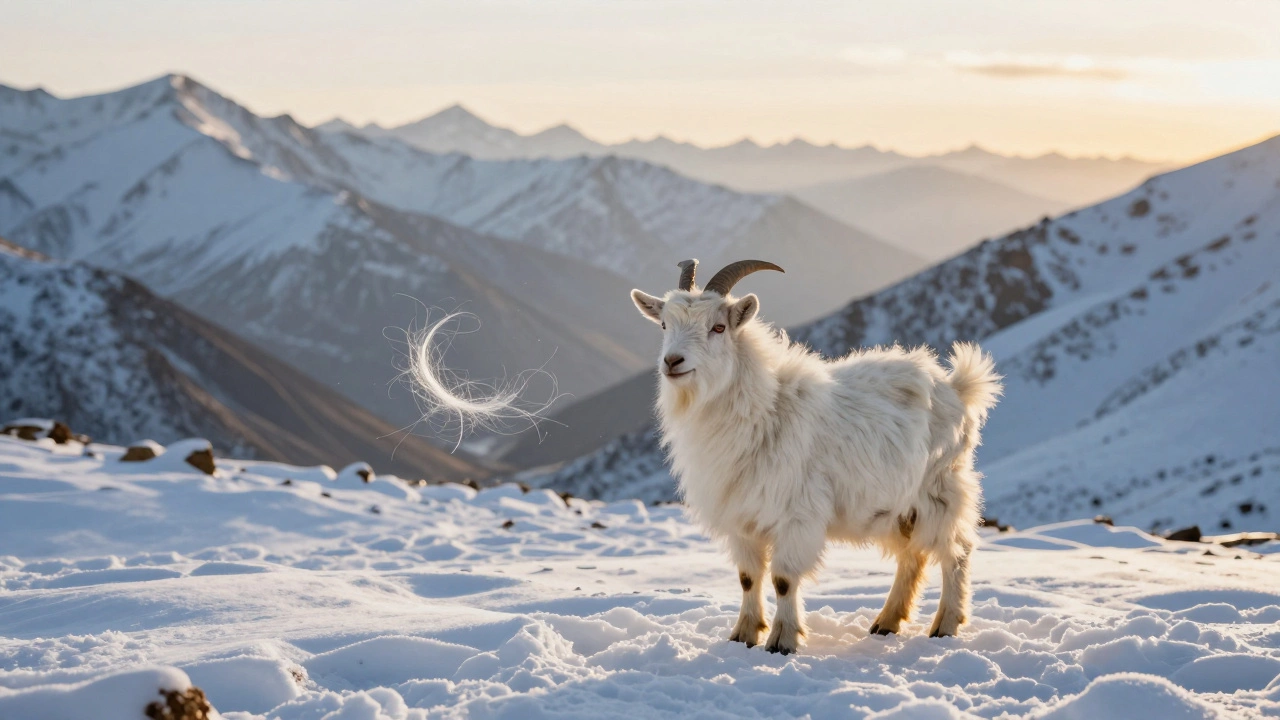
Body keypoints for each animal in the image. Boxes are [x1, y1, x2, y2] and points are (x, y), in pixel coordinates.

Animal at [630, 259, 1002, 655]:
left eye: (717, 327)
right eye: (665, 325)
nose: (672, 361)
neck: (765, 408)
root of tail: (957, 387)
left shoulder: (797, 515)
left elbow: (782, 579)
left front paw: (782, 641)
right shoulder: (741, 519)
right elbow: (748, 577)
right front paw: (743, 635)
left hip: (940, 489)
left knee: (956, 551)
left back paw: (945, 625)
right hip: (896, 509)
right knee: (912, 556)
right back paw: (887, 622)